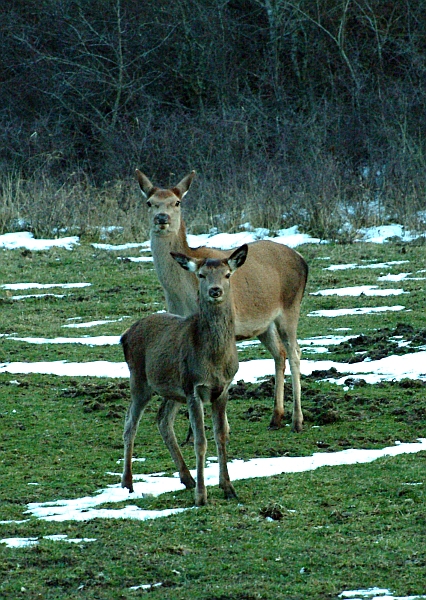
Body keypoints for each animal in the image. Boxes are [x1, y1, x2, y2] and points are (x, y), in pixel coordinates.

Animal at [120, 244, 248, 506]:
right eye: (201, 275)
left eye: (227, 274)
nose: (215, 290)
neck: (214, 361)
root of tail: (125, 335)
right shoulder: (194, 387)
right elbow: (200, 441)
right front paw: (202, 496)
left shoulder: (223, 389)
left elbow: (221, 436)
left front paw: (228, 488)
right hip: (140, 379)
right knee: (130, 425)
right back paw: (127, 482)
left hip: (172, 390)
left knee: (162, 420)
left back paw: (186, 478)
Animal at [135, 169, 308, 432]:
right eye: (149, 203)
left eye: (177, 202)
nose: (161, 218)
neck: (181, 293)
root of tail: (303, 260)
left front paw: (220, 427)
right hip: (263, 324)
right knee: (279, 353)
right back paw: (276, 417)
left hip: (290, 308)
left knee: (295, 351)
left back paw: (297, 420)